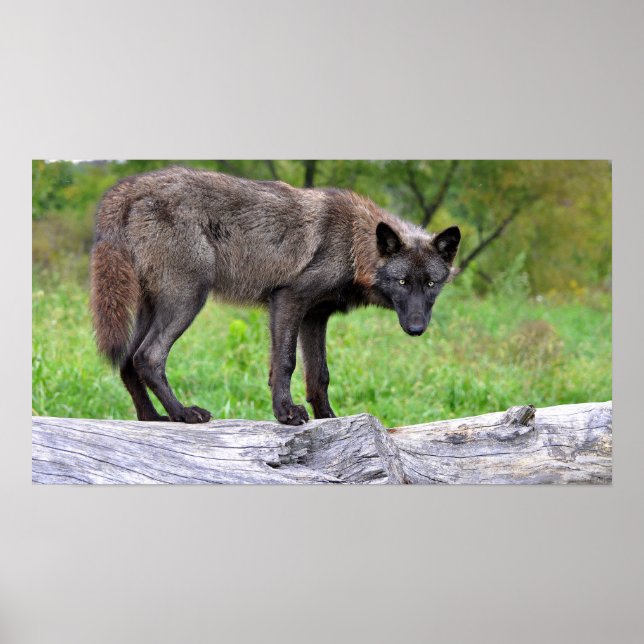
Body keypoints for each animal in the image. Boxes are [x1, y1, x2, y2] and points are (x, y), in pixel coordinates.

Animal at [90, 166, 460, 425]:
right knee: (147, 356)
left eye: (430, 285)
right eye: (402, 283)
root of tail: (130, 186)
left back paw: (152, 419)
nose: (416, 329)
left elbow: (319, 375)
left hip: (155, 307)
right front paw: (286, 414)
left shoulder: (315, 317)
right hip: (188, 300)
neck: (353, 243)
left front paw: (329, 419)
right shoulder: (287, 300)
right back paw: (183, 414)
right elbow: (285, 363)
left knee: (127, 361)